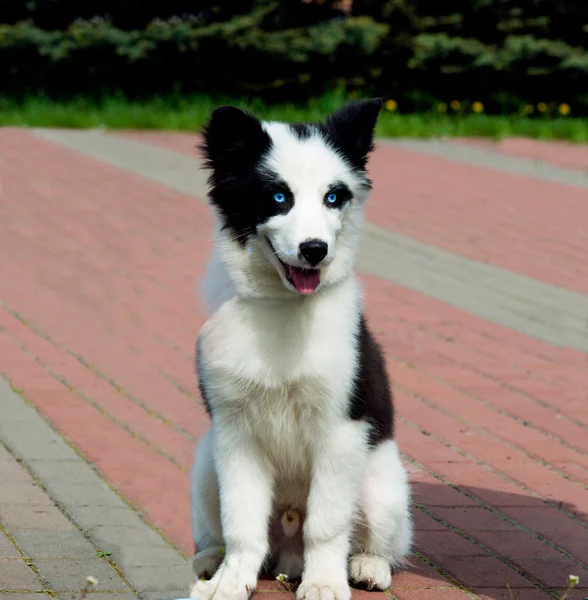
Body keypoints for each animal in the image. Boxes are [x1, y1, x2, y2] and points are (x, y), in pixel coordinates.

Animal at [191, 98, 412, 600]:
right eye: (279, 197)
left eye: (334, 197)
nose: (315, 250)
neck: (284, 306)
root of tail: (287, 557)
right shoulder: (234, 433)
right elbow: (242, 522)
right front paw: (231, 580)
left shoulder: (341, 431)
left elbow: (327, 524)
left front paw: (326, 582)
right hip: (205, 466)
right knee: (222, 530)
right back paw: (211, 561)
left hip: (382, 484)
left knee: (379, 541)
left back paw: (367, 566)